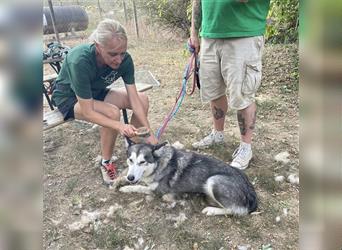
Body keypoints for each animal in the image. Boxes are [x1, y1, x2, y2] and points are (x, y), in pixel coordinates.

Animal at [119, 143, 258, 217]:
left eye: (142, 162)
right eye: (130, 160)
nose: (130, 177)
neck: (160, 163)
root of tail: (251, 193)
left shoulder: (158, 191)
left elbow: (139, 187)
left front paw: (125, 187)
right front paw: (122, 180)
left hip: (213, 180)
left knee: (235, 210)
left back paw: (211, 210)